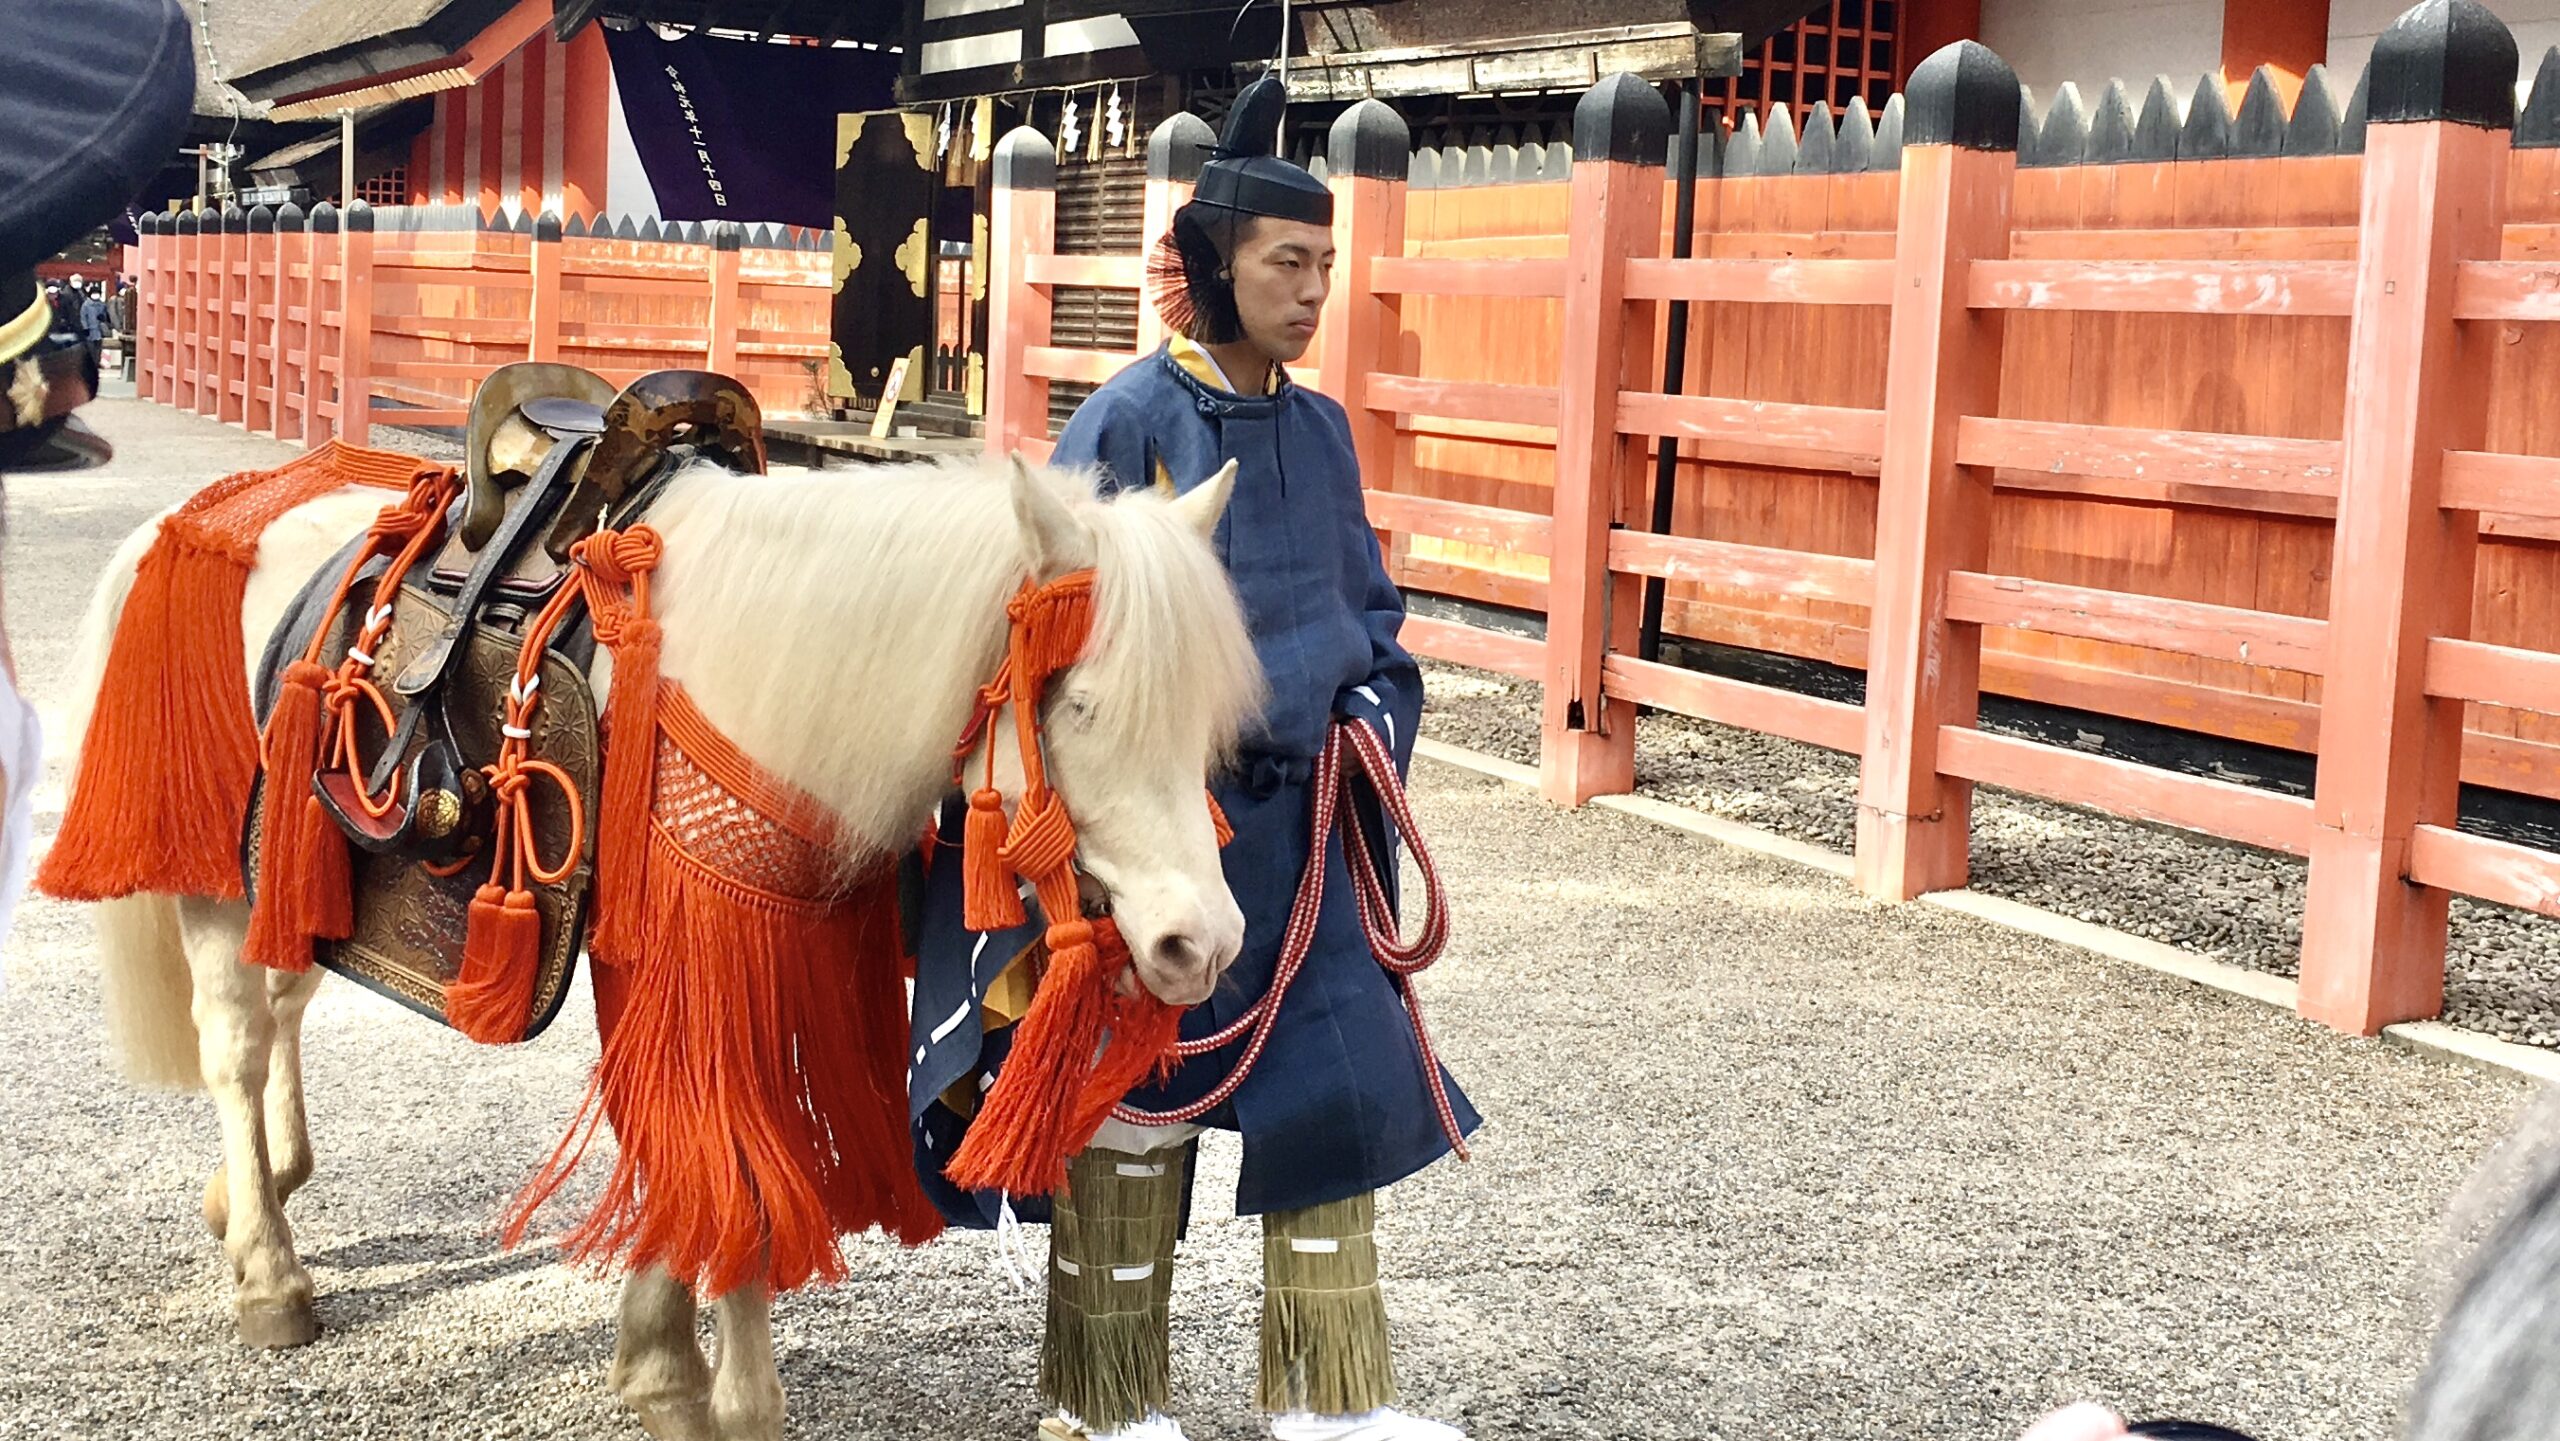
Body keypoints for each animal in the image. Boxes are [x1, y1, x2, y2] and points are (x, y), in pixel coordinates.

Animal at [77, 453, 1269, 1441]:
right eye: (1082, 705)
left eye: (1207, 722)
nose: (1202, 943)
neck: (764, 688)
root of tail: (204, 513)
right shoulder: (692, 958)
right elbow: (713, 1151)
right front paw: (724, 1395)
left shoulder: (760, 958)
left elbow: (701, 1150)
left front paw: (661, 1362)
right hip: (215, 883)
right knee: (235, 1044)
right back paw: (267, 1273)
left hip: (282, 884)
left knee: (279, 1006)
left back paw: (259, 1189)